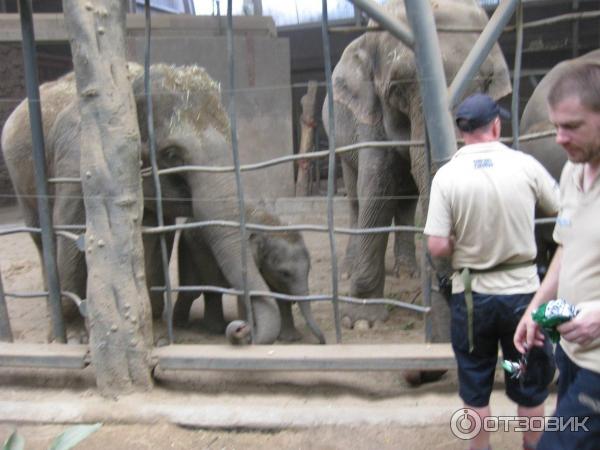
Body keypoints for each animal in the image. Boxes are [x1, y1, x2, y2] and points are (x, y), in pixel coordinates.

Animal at [1, 63, 282, 342]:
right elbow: (72, 233)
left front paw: (156, 333)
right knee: (42, 239)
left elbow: (157, 240)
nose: (241, 327)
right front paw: (75, 337)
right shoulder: (79, 162)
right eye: (172, 155)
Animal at [173, 208, 326, 344]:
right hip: (196, 248)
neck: (269, 226)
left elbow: (279, 294)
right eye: (285, 273)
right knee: (204, 289)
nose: (321, 342)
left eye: (310, 269)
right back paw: (210, 328)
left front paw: (291, 339)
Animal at [324, 0, 510, 326]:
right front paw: (359, 321)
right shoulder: (369, 114)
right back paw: (347, 269)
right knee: (357, 198)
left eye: (487, 81)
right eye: (398, 89)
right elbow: (377, 189)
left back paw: (407, 272)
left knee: (407, 201)